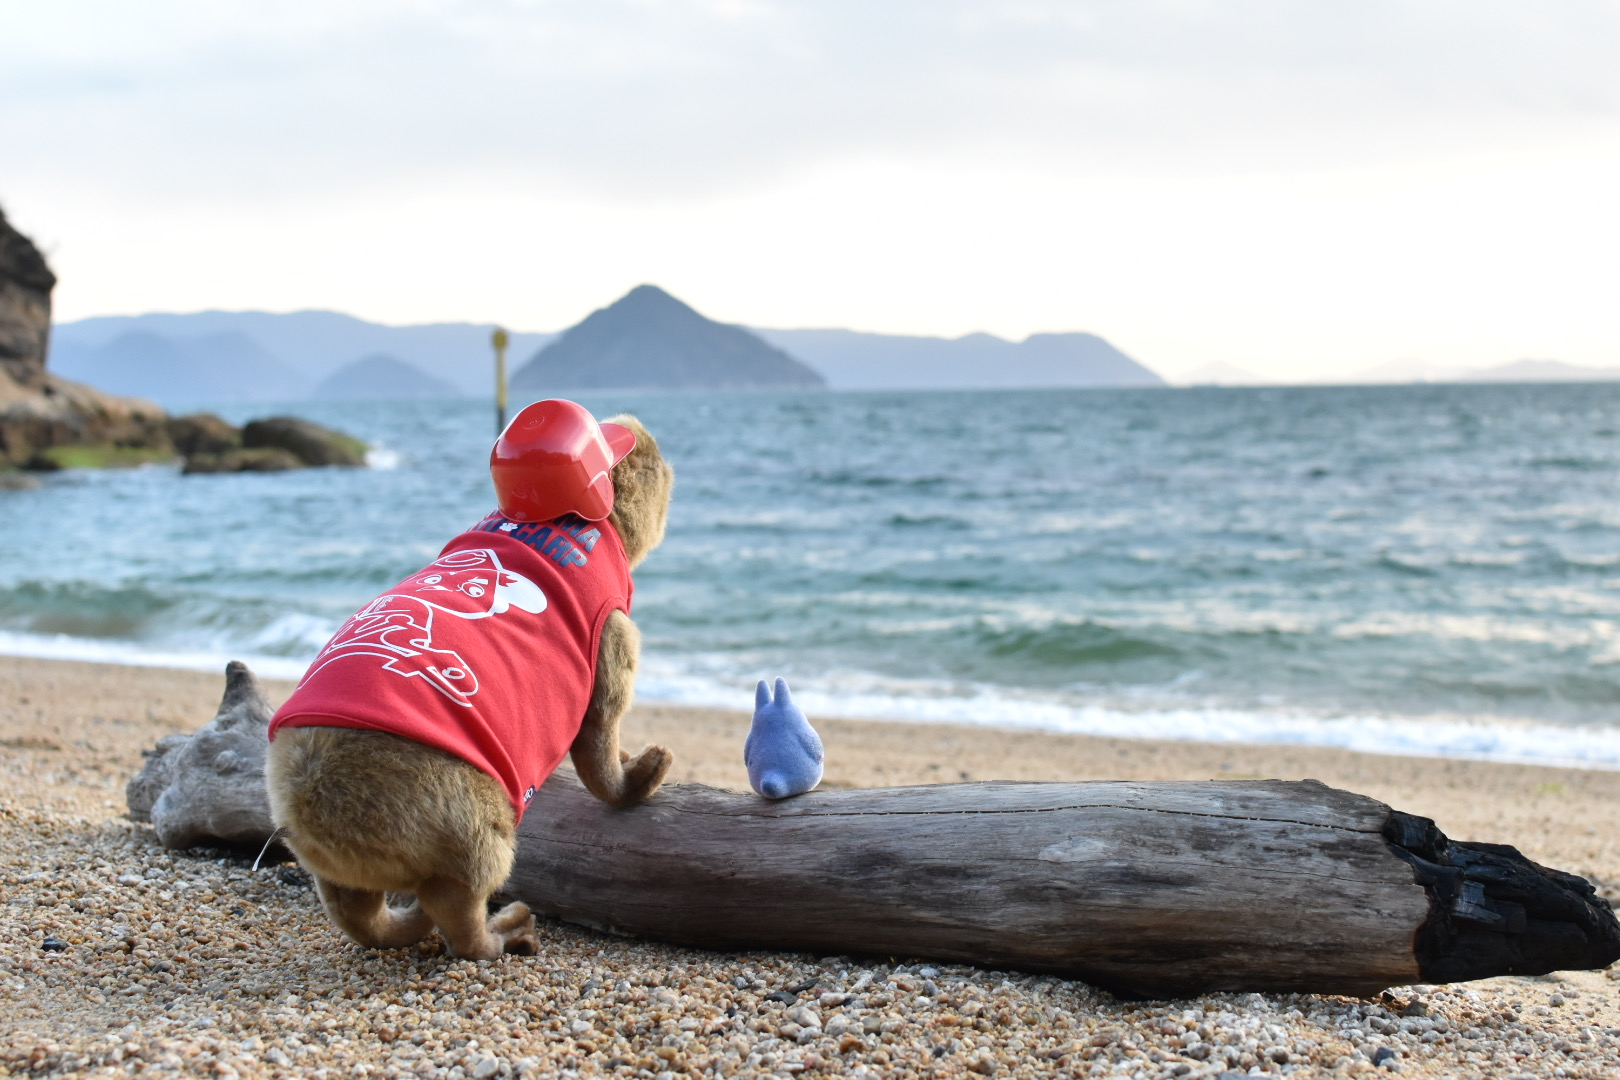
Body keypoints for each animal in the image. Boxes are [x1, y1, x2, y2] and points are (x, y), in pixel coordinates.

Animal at [268, 408, 673, 965]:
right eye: (651, 463)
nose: (671, 468)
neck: (567, 522)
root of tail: (313, 803)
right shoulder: (609, 642)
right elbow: (600, 759)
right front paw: (642, 774)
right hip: (477, 830)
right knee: (460, 920)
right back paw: (507, 932)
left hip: (336, 872)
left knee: (360, 919)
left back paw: (407, 922)